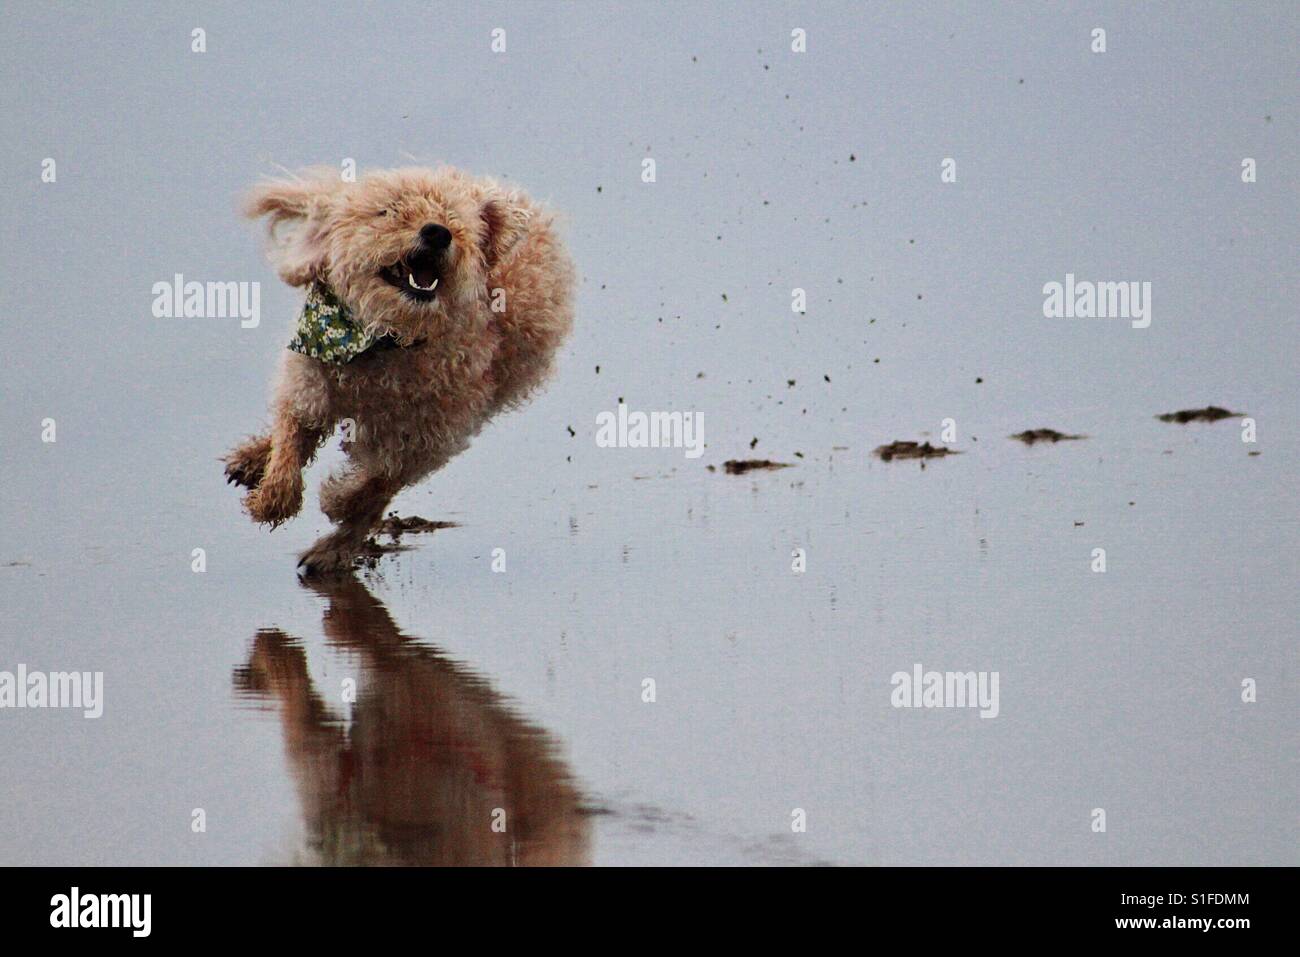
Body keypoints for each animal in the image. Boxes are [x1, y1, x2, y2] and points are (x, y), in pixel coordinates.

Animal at [223, 167, 574, 572]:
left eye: (456, 220)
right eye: (387, 212)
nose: (437, 232)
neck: (384, 340)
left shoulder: (430, 436)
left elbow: (377, 483)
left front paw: (340, 501)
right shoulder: (307, 381)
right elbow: (290, 442)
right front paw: (271, 499)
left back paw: (335, 546)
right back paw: (250, 460)